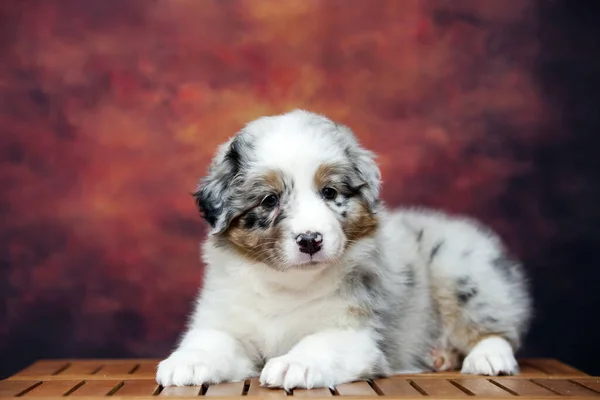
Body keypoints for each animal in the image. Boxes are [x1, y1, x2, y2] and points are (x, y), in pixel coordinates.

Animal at [157, 110, 532, 390]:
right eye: (269, 200)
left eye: (329, 192)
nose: (310, 239)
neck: (286, 285)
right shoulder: (227, 320)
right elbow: (212, 340)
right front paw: (186, 362)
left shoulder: (355, 332)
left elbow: (319, 342)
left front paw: (293, 364)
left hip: (460, 269)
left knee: (499, 329)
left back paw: (488, 358)